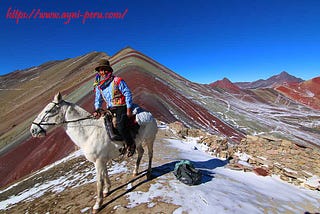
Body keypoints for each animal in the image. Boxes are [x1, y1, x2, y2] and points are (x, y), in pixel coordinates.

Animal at [30, 93, 158, 211]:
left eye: (48, 111)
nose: (33, 130)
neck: (89, 132)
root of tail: (149, 114)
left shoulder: (99, 162)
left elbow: (99, 181)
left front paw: (98, 204)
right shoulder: (102, 161)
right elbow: (105, 175)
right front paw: (107, 190)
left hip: (150, 140)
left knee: (150, 154)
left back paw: (148, 173)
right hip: (138, 142)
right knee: (141, 152)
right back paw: (135, 172)